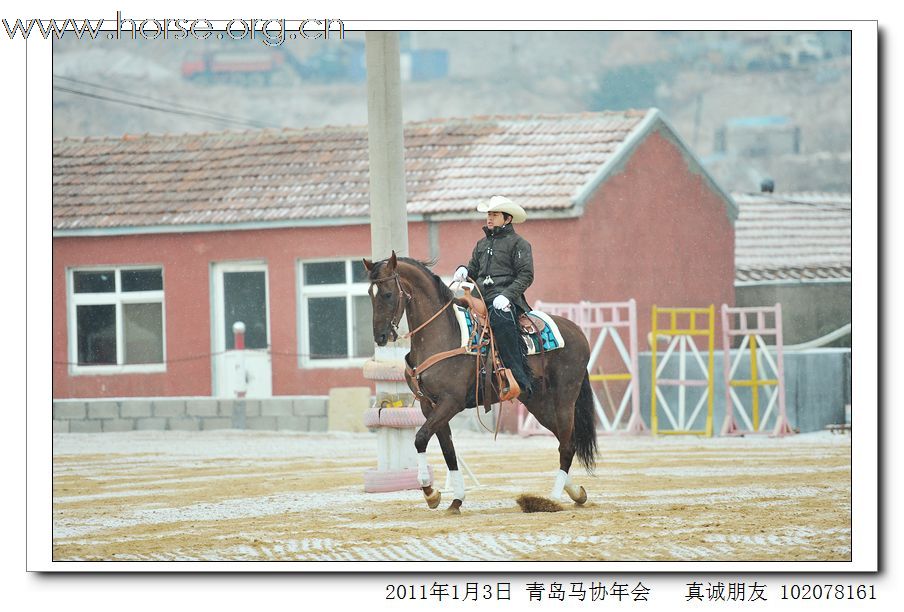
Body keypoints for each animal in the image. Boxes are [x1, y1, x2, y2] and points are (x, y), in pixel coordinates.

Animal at [364, 251, 596, 512]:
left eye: (387, 294)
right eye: (370, 294)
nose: (381, 337)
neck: (443, 334)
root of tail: (577, 330)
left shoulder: (450, 402)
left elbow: (420, 438)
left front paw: (429, 491)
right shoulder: (429, 405)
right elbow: (447, 450)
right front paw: (454, 499)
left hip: (565, 397)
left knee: (566, 445)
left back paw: (553, 498)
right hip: (538, 403)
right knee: (565, 440)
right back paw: (576, 492)